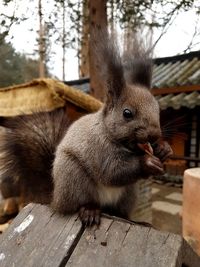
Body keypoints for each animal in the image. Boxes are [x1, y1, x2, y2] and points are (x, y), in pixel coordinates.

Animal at [0, 29, 172, 226]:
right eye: (127, 113)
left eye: (157, 109)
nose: (154, 135)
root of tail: (55, 199)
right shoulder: (98, 149)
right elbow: (111, 171)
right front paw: (148, 162)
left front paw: (164, 149)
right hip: (74, 178)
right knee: (78, 204)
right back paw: (89, 211)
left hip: (128, 193)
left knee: (119, 211)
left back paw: (134, 220)